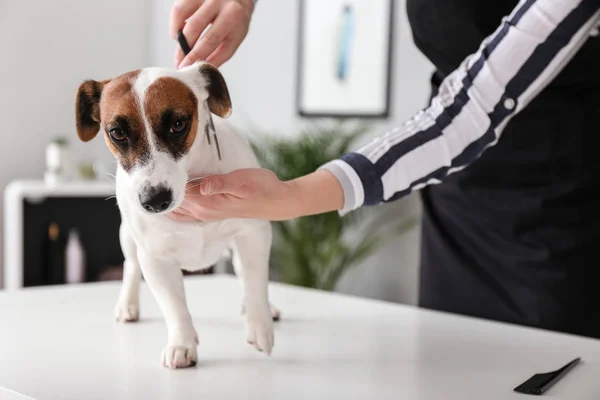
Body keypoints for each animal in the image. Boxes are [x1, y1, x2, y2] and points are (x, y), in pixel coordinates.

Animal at [75, 61, 278, 368]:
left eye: (178, 125)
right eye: (117, 133)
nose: (154, 200)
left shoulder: (253, 233)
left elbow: (255, 281)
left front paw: (259, 325)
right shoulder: (155, 258)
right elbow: (174, 307)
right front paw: (182, 344)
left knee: (244, 272)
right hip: (128, 237)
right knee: (130, 266)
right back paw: (127, 304)